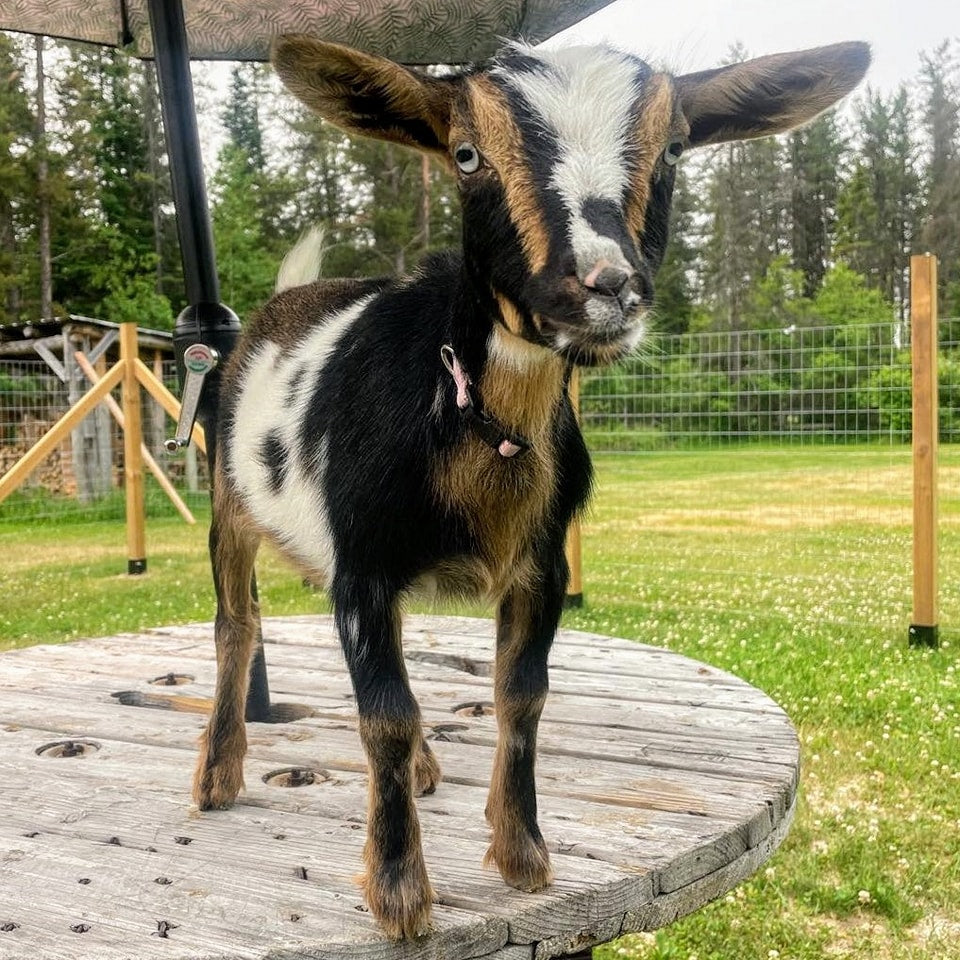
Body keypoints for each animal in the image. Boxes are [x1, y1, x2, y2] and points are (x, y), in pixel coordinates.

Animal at [192, 35, 869, 940]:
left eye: (675, 147)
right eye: (466, 154)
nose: (604, 286)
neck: (475, 417)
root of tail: (283, 302)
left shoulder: (540, 567)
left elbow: (521, 695)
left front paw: (523, 857)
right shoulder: (362, 563)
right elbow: (386, 714)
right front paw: (400, 893)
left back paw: (424, 770)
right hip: (228, 506)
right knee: (238, 626)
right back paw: (218, 775)